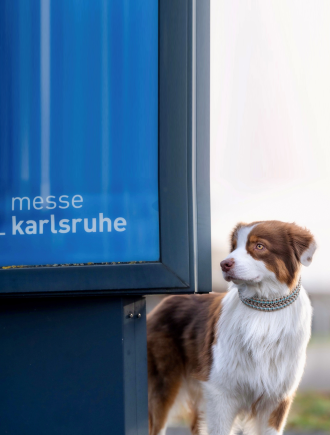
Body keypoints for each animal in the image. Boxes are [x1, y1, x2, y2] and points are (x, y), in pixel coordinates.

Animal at [148, 221, 316, 435]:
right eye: (234, 246)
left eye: (259, 246)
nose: (224, 264)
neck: (264, 310)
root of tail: (165, 301)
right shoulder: (221, 393)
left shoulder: (276, 400)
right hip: (165, 385)